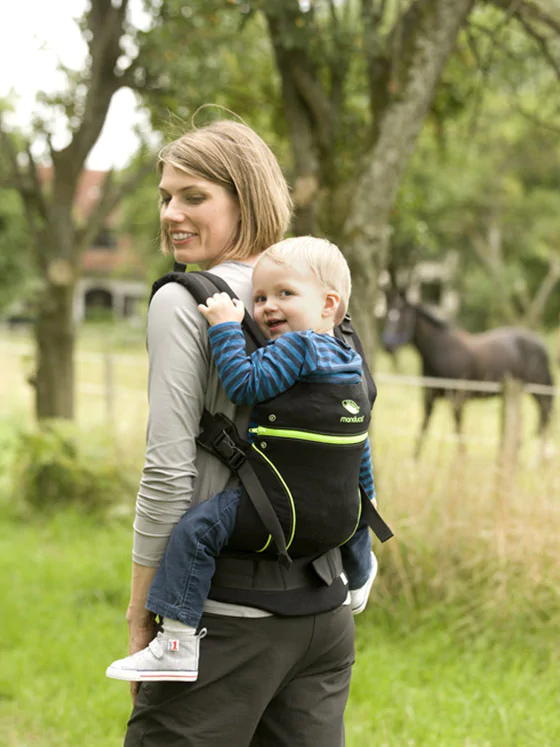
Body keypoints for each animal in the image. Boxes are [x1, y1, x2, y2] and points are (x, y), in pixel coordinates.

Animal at [380, 296, 556, 458]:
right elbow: (424, 426)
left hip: (538, 390)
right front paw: (414, 458)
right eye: (388, 316)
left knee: (545, 416)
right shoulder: (429, 397)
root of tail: (541, 345)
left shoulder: (458, 398)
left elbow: (458, 427)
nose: (387, 346)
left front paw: (462, 457)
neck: (441, 352)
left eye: (404, 319)